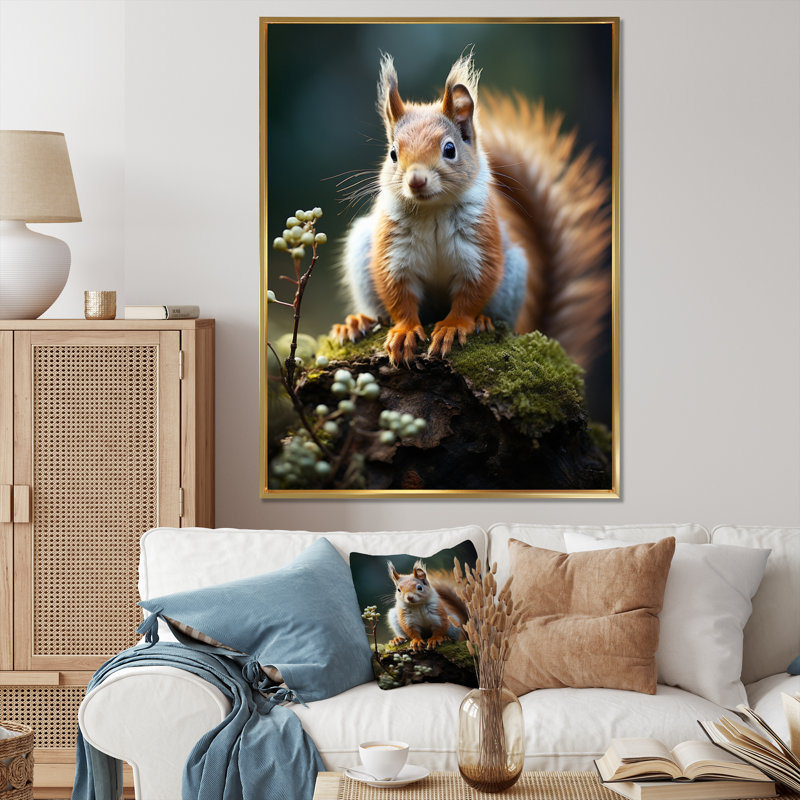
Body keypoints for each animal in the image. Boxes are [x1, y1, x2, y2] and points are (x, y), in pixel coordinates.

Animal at [331, 50, 611, 368]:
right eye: (392, 153)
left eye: (449, 149)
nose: (416, 180)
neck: (433, 210)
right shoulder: (394, 253)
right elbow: (398, 294)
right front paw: (404, 331)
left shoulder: (479, 249)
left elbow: (472, 291)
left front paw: (453, 326)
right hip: (361, 250)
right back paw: (357, 322)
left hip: (513, 275)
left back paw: (485, 321)